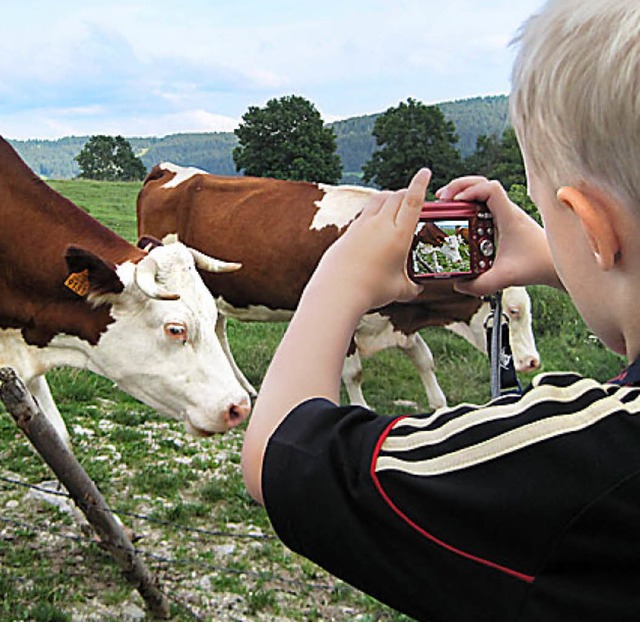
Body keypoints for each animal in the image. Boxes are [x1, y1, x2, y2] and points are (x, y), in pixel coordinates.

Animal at [139, 163, 540, 412]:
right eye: (512, 313)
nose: (532, 362)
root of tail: (170, 171)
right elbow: (353, 372)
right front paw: (360, 406)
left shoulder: (397, 317)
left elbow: (424, 359)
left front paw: (438, 405)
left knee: (217, 328)